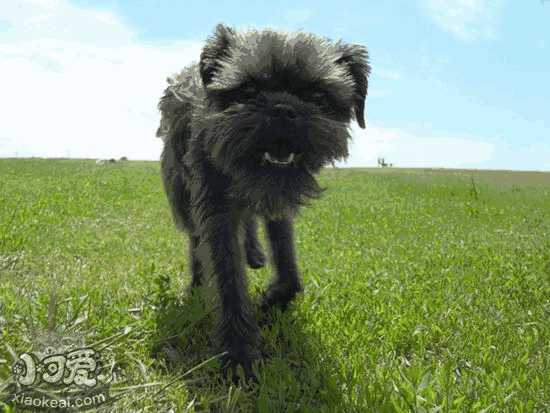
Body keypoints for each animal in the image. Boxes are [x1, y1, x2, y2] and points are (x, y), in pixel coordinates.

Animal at [156, 23, 370, 380]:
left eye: (316, 95)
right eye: (248, 90)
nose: (283, 109)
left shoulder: (277, 205)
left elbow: (285, 253)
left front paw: (277, 297)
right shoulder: (215, 209)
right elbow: (227, 277)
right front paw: (238, 354)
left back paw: (254, 253)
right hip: (183, 195)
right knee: (196, 239)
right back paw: (200, 280)